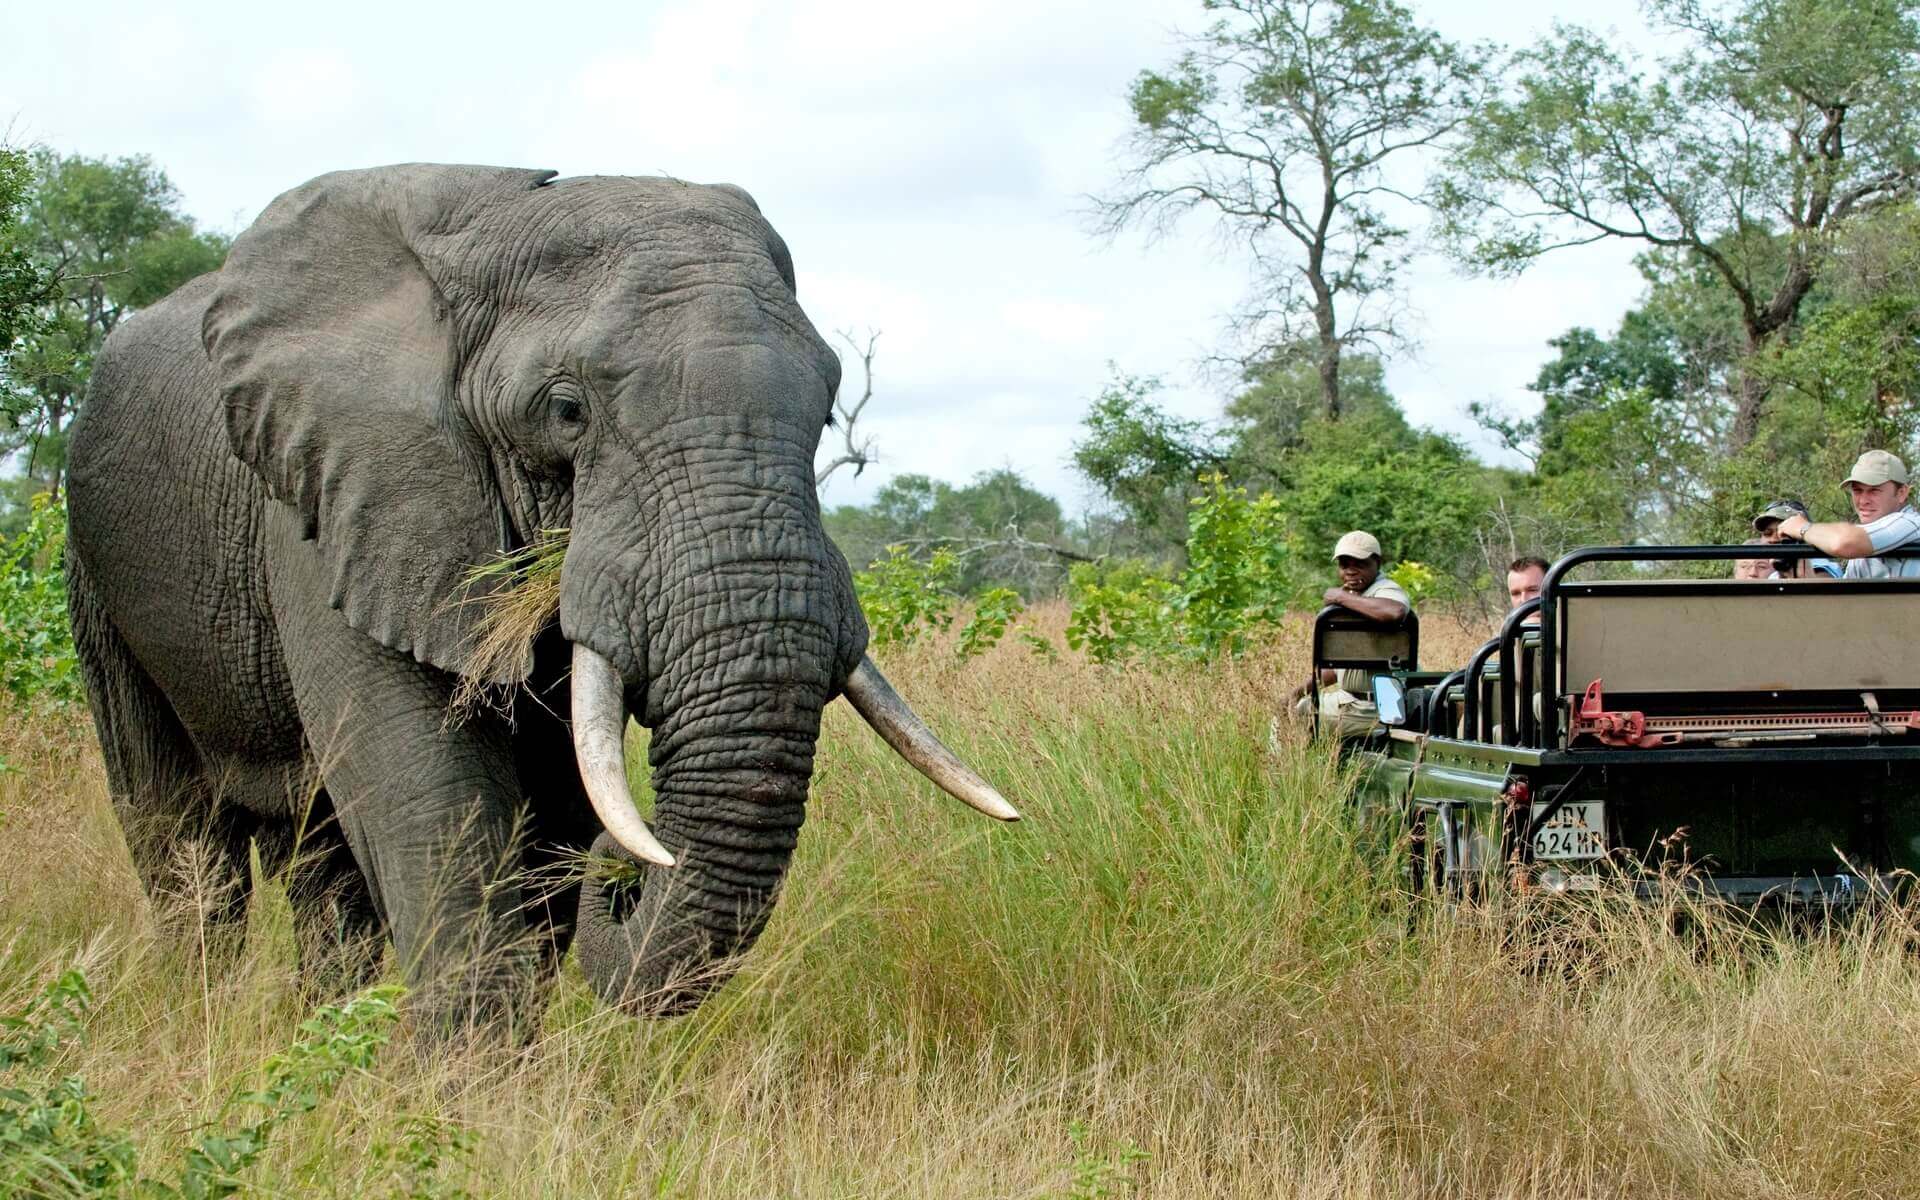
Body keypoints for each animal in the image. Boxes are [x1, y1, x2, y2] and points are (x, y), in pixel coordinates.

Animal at [63, 163, 1015, 1026]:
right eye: (566, 412)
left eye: (826, 412)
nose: (627, 876)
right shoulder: (333, 507)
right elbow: (429, 801)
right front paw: (468, 1101)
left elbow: (554, 809)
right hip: (93, 564)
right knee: (177, 834)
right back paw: (204, 1026)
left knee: (315, 855)